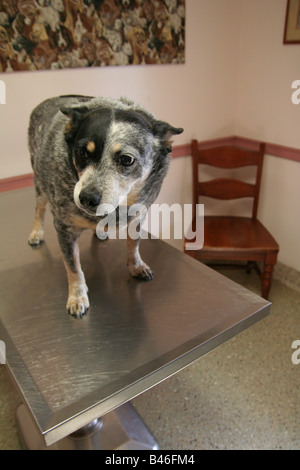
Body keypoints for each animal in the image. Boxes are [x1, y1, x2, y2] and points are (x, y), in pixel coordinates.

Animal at [28, 94, 183, 318]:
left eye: (126, 159)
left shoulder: (139, 214)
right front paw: (77, 296)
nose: (86, 197)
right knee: (39, 208)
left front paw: (136, 265)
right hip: (40, 180)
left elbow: (133, 244)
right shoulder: (64, 228)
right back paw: (36, 232)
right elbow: (73, 266)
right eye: (82, 152)